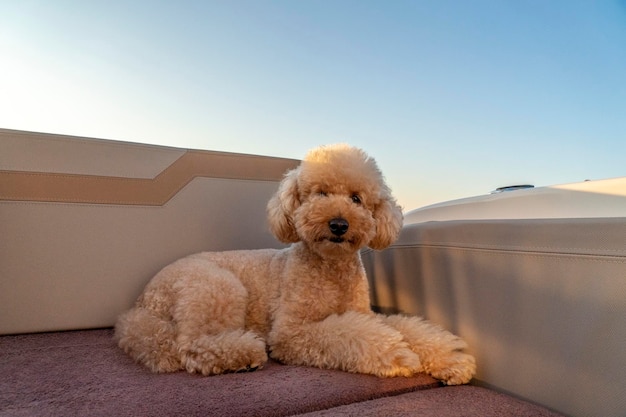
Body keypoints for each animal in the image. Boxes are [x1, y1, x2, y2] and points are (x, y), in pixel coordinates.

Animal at [114, 143, 472, 384]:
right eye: (321, 193)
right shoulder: (291, 333)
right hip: (217, 287)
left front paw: (452, 358)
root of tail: (142, 301)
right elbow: (347, 334)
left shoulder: (362, 313)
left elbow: (403, 327)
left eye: (356, 198)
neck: (330, 269)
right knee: (190, 346)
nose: (338, 224)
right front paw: (398, 354)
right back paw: (244, 353)